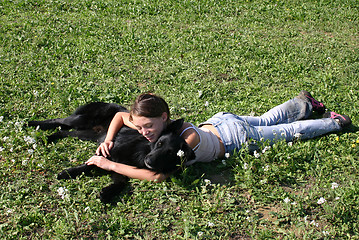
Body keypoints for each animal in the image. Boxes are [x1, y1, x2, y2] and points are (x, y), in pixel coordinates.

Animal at [28, 102, 195, 202]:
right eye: (159, 143)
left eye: (170, 154)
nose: (149, 161)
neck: (142, 150)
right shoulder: (107, 151)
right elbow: (88, 165)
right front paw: (67, 173)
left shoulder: (118, 167)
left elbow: (121, 181)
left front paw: (108, 193)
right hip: (79, 121)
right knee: (58, 120)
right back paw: (32, 124)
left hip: (87, 134)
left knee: (62, 132)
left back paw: (48, 138)